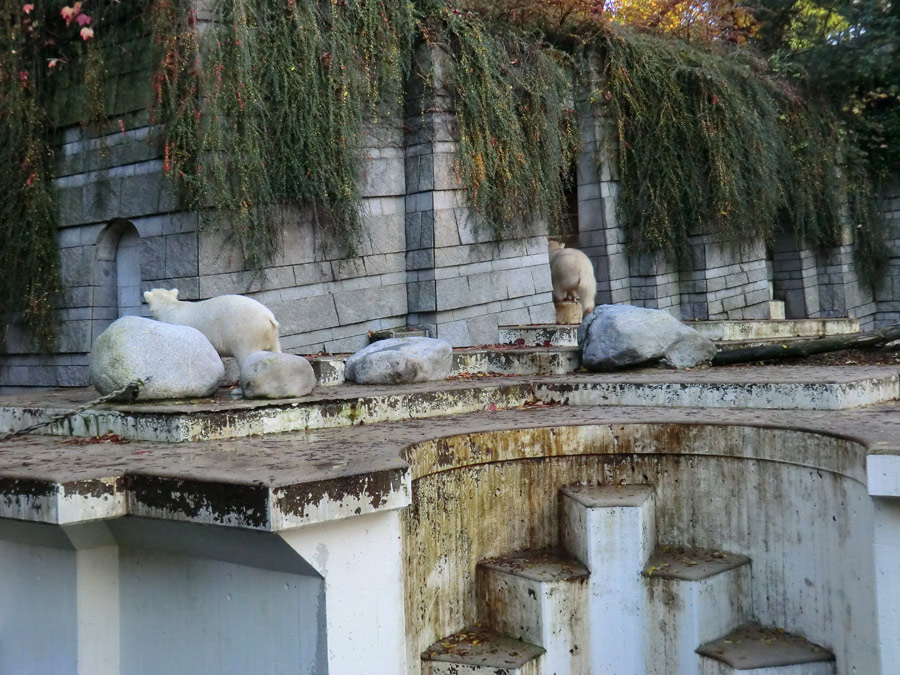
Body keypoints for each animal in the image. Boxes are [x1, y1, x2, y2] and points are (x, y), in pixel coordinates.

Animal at [143, 288, 282, 368]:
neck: (170, 306)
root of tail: (268, 317)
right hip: (271, 334)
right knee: (276, 352)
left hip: (245, 332)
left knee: (246, 353)